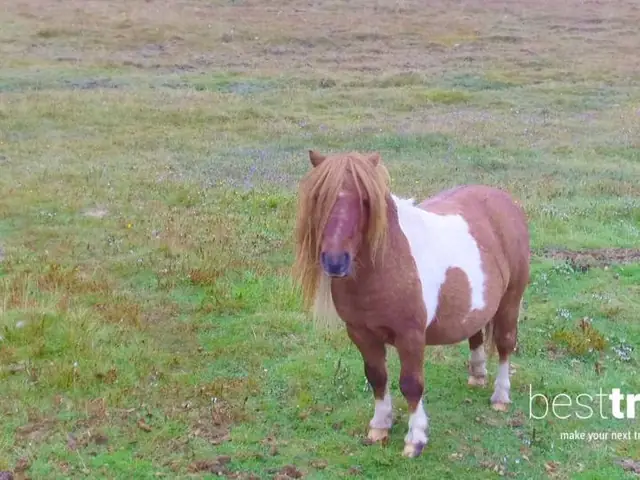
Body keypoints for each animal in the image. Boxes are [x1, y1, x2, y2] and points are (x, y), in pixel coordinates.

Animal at [292, 150, 530, 458]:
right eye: (319, 196)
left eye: (366, 199)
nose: (335, 262)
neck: (386, 265)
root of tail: (506, 201)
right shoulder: (360, 333)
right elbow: (377, 377)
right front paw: (380, 426)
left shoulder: (411, 337)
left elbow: (411, 385)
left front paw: (415, 439)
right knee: (475, 334)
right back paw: (477, 375)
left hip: (511, 300)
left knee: (504, 344)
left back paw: (500, 396)